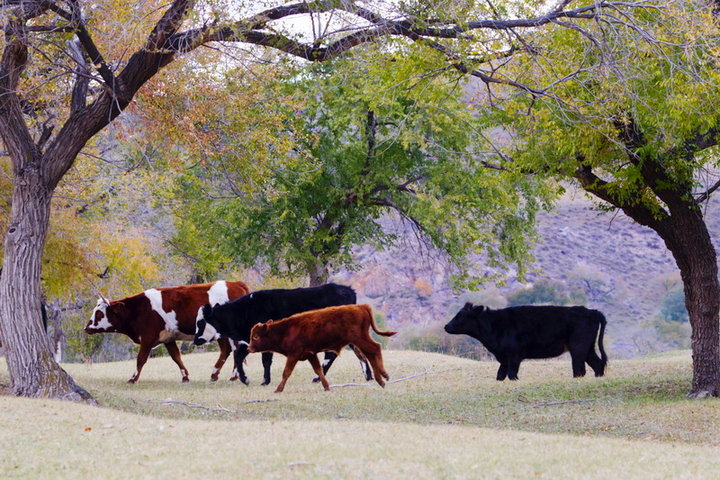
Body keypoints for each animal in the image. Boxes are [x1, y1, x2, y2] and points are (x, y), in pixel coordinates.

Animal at [86, 280, 249, 384]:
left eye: (99, 314)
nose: (86, 327)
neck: (139, 309)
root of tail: (235, 283)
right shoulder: (168, 338)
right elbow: (176, 357)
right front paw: (185, 377)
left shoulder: (147, 337)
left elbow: (141, 359)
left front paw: (133, 379)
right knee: (229, 350)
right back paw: (220, 375)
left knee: (233, 349)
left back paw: (227, 375)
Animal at [193, 284, 372, 384]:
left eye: (200, 323)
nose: (195, 340)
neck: (245, 311)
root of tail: (347, 290)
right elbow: (240, 356)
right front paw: (246, 379)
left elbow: (264, 360)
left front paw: (264, 381)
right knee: (358, 351)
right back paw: (368, 376)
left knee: (333, 354)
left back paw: (318, 378)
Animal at [246, 306, 394, 392]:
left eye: (256, 337)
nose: (249, 348)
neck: (286, 330)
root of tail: (361, 306)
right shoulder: (310, 354)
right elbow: (318, 370)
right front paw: (326, 386)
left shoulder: (294, 354)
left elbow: (286, 372)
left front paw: (278, 389)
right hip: (359, 340)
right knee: (370, 353)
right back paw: (381, 379)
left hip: (359, 339)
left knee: (375, 348)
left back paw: (384, 376)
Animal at [444, 306, 608, 380]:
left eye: (460, 316)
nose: (446, 326)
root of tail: (591, 311)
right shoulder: (503, 358)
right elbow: (500, 375)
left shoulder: (514, 355)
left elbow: (512, 374)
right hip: (588, 348)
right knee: (597, 364)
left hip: (578, 347)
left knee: (579, 369)